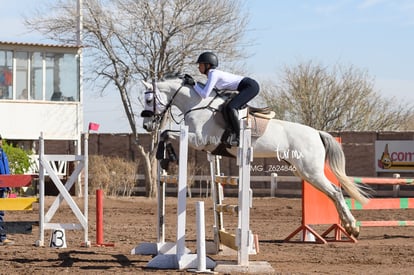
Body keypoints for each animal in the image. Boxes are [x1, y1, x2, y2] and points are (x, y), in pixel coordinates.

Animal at [142, 77, 368, 237]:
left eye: (148, 99)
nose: (147, 125)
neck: (198, 105)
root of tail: (317, 133)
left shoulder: (198, 140)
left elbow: (166, 133)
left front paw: (166, 155)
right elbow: (165, 134)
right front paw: (165, 155)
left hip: (311, 171)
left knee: (336, 192)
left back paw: (352, 227)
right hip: (303, 171)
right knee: (333, 192)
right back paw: (349, 227)